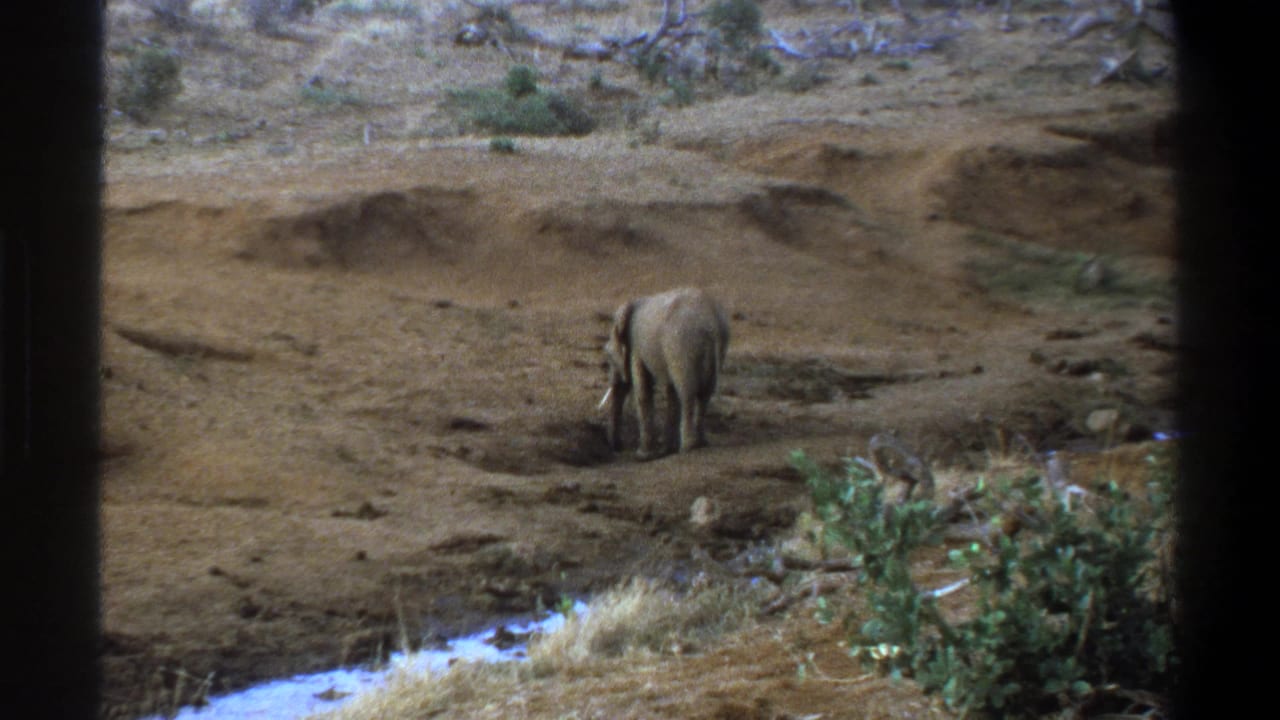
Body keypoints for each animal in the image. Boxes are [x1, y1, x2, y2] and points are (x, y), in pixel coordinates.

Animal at [600, 287, 730, 460]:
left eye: (608, 355)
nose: (618, 448)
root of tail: (712, 322)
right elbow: (670, 392)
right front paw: (666, 450)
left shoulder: (637, 347)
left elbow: (643, 389)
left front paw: (643, 455)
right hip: (709, 349)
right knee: (704, 394)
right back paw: (701, 443)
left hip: (681, 346)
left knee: (686, 392)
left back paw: (688, 447)